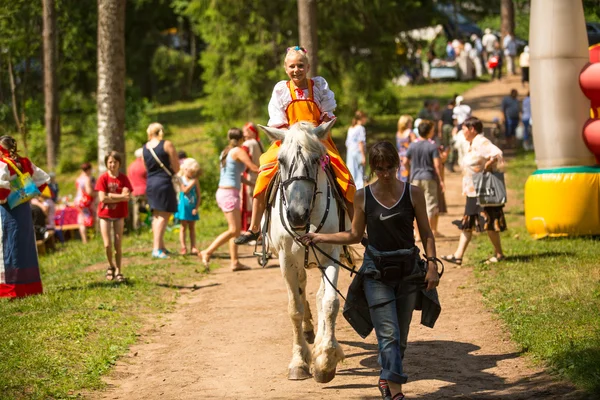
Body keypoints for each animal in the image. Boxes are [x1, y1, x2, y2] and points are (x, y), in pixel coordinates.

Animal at [258, 120, 346, 382]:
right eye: (281, 160)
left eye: (316, 159)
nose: (297, 215)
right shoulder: (286, 260)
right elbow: (294, 309)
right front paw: (299, 361)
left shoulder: (331, 254)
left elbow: (330, 302)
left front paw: (326, 360)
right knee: (302, 288)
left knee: (319, 295)